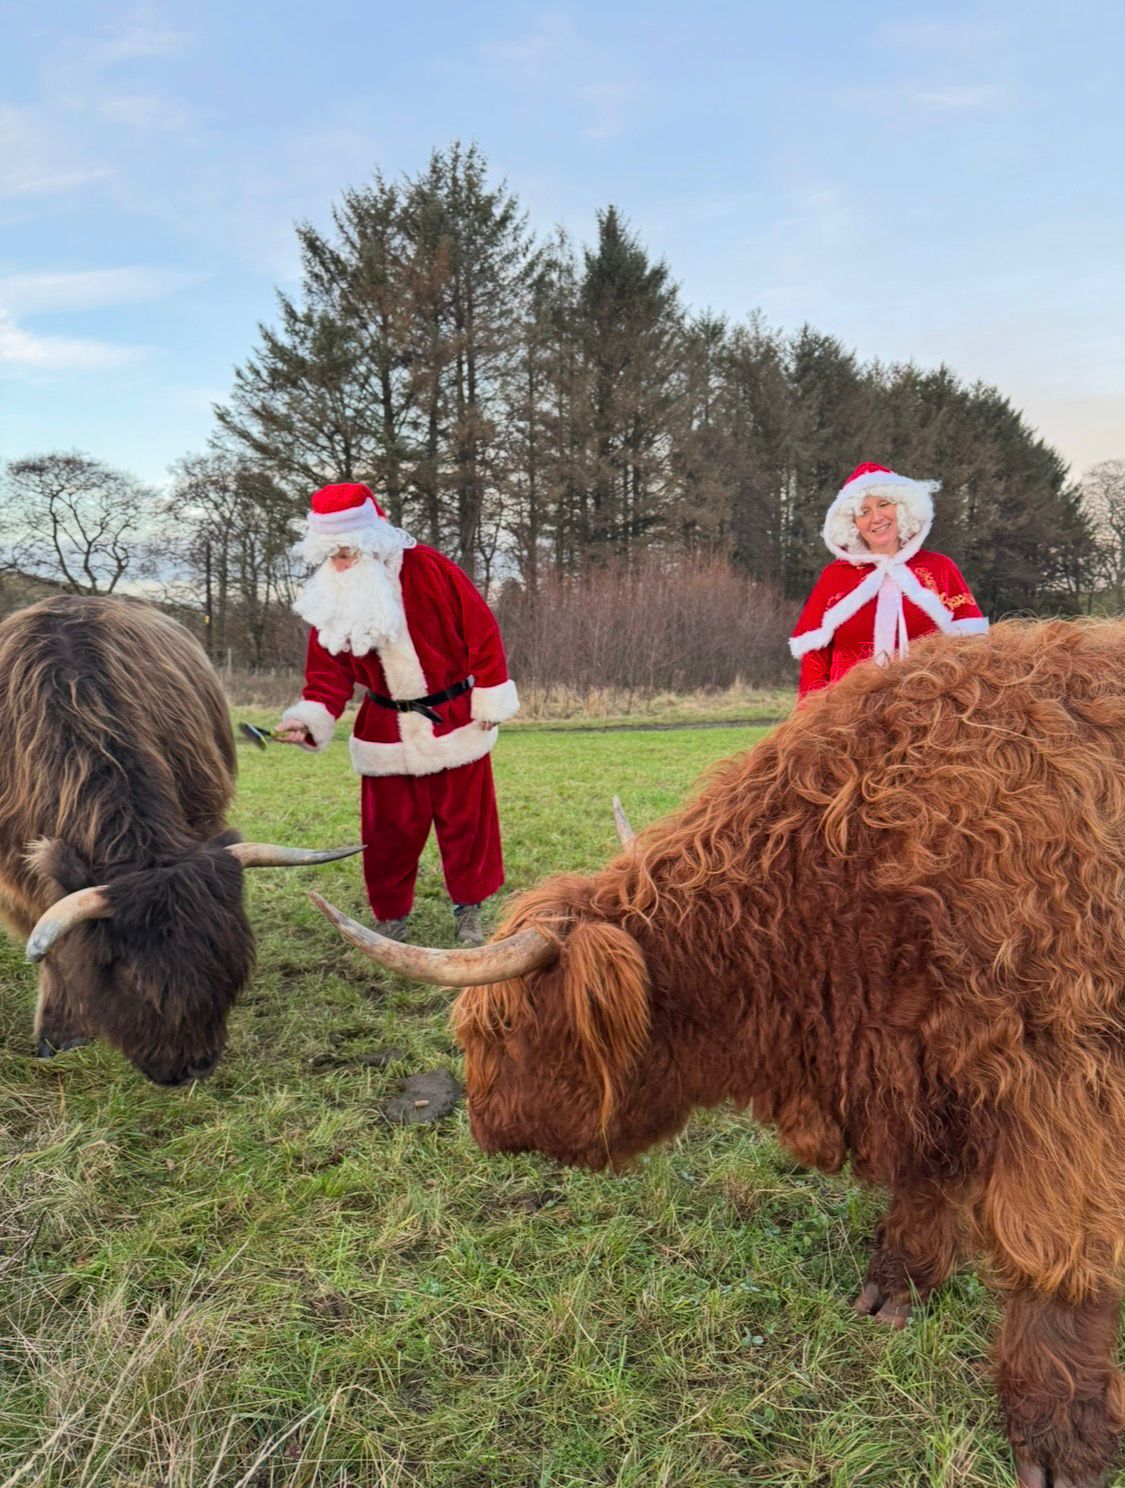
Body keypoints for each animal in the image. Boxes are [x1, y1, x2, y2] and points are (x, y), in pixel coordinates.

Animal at [0, 595, 360, 1086]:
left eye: (233, 970)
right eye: (132, 978)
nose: (192, 1068)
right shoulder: (16, 879)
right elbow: (54, 953)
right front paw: (60, 1033)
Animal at [312, 618, 1125, 1487]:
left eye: (501, 1031)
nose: (480, 1127)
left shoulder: (1058, 1074)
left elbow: (1055, 1254)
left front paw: (1056, 1432)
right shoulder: (922, 1061)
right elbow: (924, 1180)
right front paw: (893, 1288)